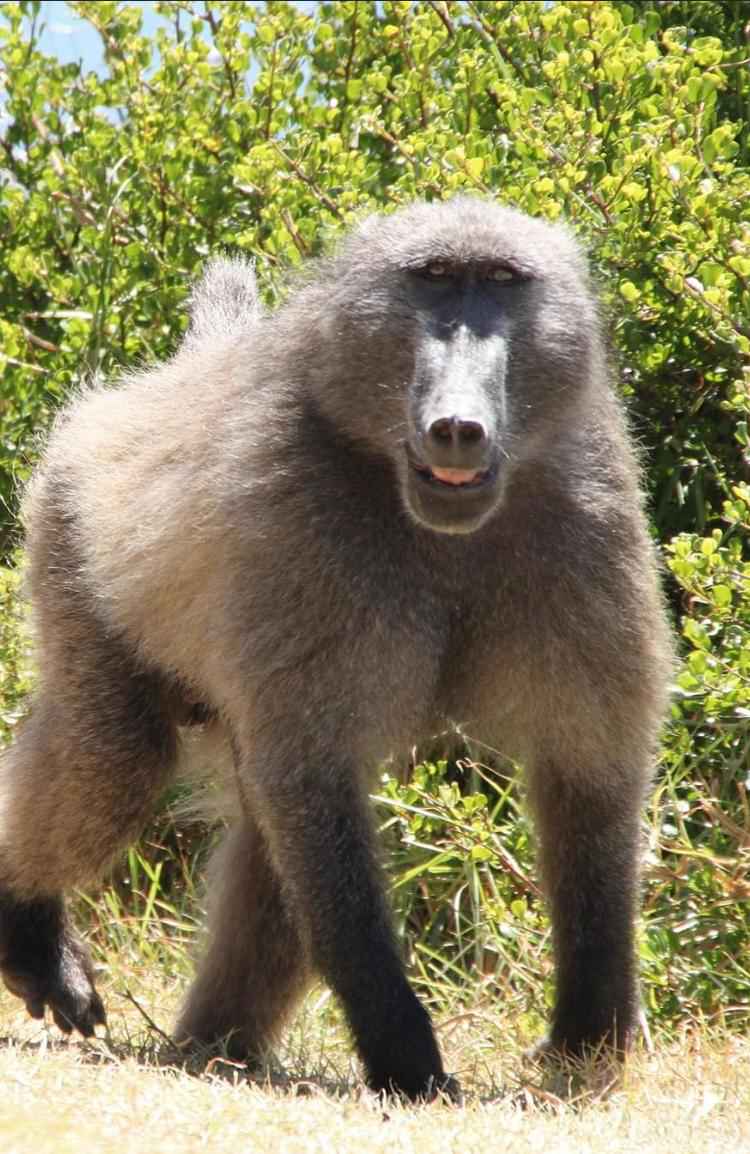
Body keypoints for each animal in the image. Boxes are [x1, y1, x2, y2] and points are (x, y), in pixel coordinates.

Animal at [0, 197, 673, 1101]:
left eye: (501, 283)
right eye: (433, 280)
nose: (457, 426)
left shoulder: (585, 508)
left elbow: (589, 770)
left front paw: (589, 1035)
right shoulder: (300, 516)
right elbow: (314, 780)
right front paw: (404, 1054)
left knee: (264, 844)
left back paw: (214, 1045)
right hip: (71, 546)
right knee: (117, 764)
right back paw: (33, 935)